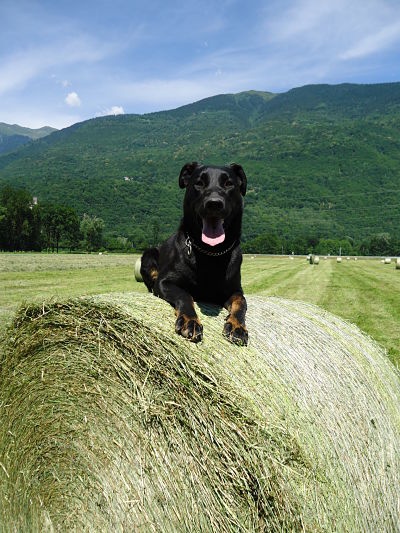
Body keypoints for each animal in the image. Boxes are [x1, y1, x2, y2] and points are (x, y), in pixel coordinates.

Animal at [140, 162, 247, 344]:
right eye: (199, 183)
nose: (214, 204)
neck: (210, 252)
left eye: (228, 183)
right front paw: (190, 320)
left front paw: (237, 326)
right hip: (148, 256)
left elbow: (241, 303)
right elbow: (185, 295)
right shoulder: (165, 282)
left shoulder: (235, 290)